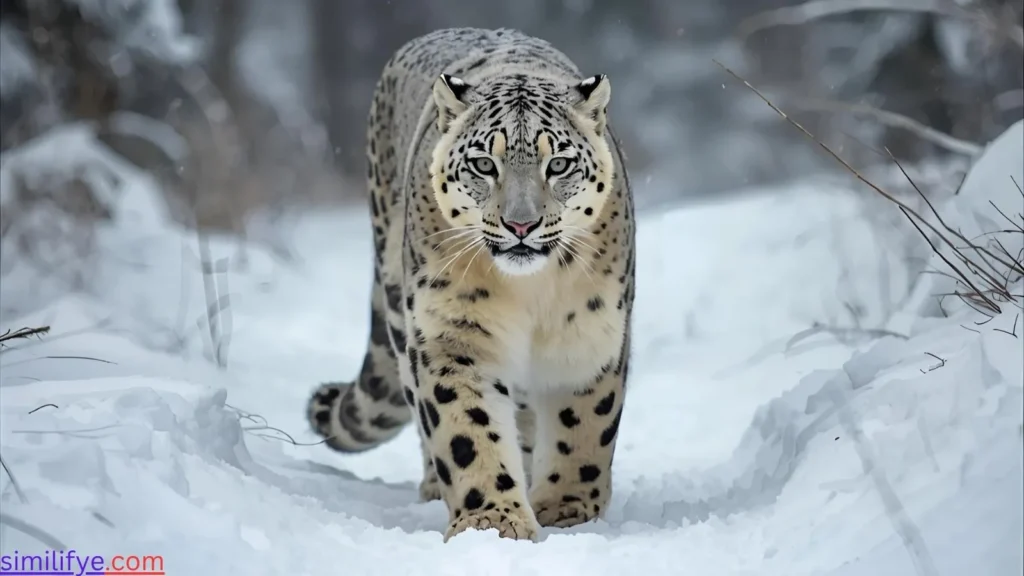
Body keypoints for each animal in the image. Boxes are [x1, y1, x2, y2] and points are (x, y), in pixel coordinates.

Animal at [307, 27, 635, 543]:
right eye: (483, 164)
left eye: (559, 164)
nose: (521, 224)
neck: (529, 293)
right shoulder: (452, 334)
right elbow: (466, 429)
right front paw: (493, 521)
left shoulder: (589, 333)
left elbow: (583, 425)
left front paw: (568, 511)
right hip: (402, 314)